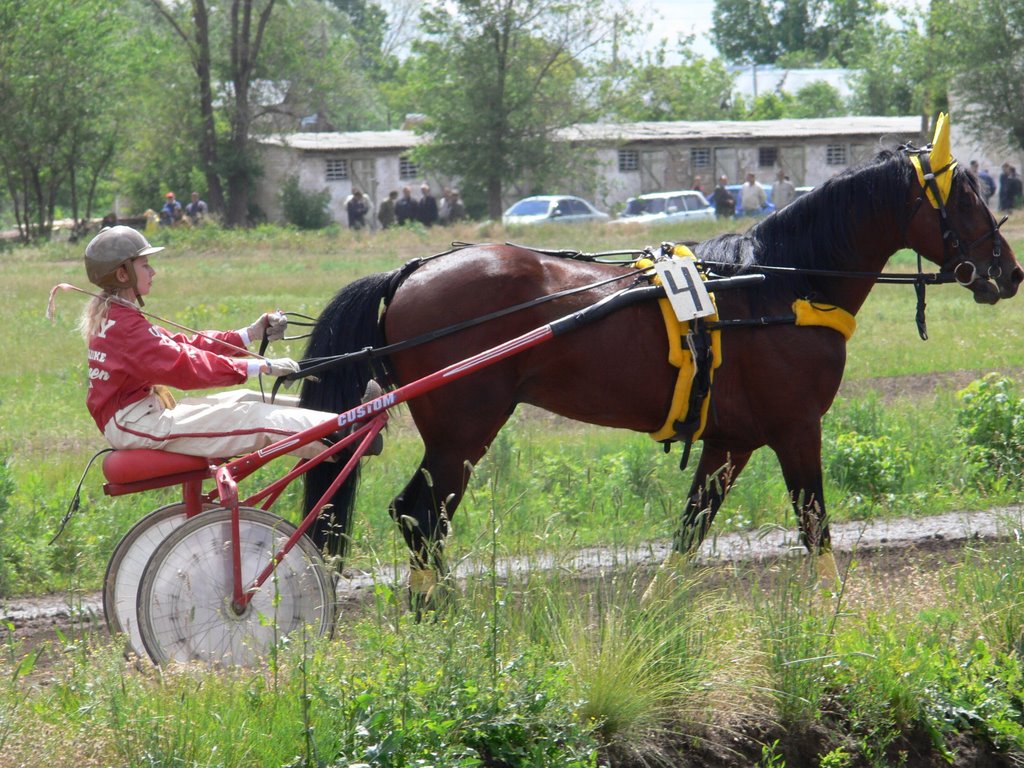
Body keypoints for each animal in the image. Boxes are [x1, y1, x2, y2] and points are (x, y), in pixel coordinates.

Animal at [299, 115, 1019, 606]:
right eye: (965, 197)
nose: (1007, 272)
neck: (780, 285)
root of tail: (411, 273)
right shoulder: (796, 428)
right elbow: (815, 526)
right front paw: (832, 611)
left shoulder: (731, 441)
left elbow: (689, 534)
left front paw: (654, 617)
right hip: (463, 431)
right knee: (420, 515)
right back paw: (442, 610)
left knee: (419, 518)